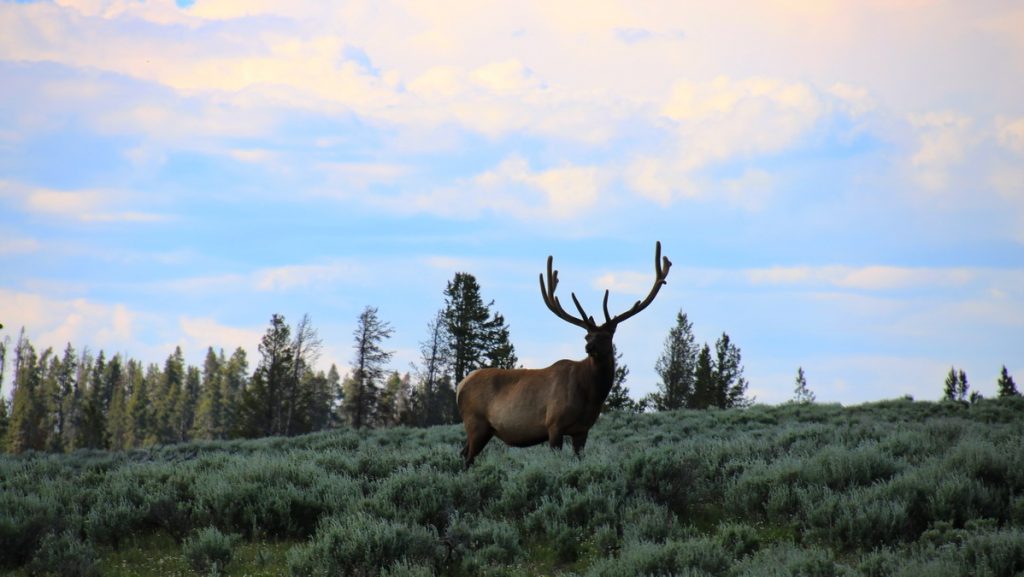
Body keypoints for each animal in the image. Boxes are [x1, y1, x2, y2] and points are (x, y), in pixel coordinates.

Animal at [458, 241, 671, 467]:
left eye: (606, 336)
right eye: (587, 336)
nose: (589, 348)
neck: (591, 395)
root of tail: (460, 385)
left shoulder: (582, 430)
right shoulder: (554, 424)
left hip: (484, 429)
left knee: (463, 453)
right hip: (475, 422)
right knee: (468, 458)